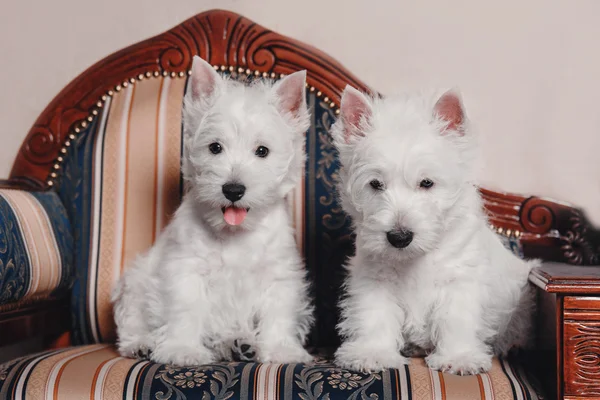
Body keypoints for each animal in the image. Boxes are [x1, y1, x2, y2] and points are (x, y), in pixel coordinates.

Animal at [114, 55, 316, 366]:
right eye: (215, 147)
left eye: (262, 151)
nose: (233, 190)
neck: (235, 233)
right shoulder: (185, 270)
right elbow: (186, 311)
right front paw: (183, 350)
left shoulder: (278, 273)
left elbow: (278, 315)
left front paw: (282, 350)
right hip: (135, 282)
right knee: (132, 320)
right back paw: (142, 344)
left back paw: (238, 344)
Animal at [332, 85, 536, 376]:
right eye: (375, 184)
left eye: (426, 182)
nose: (399, 237)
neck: (415, 258)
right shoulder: (374, 279)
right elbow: (374, 315)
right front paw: (373, 353)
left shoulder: (460, 280)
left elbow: (455, 320)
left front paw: (459, 357)